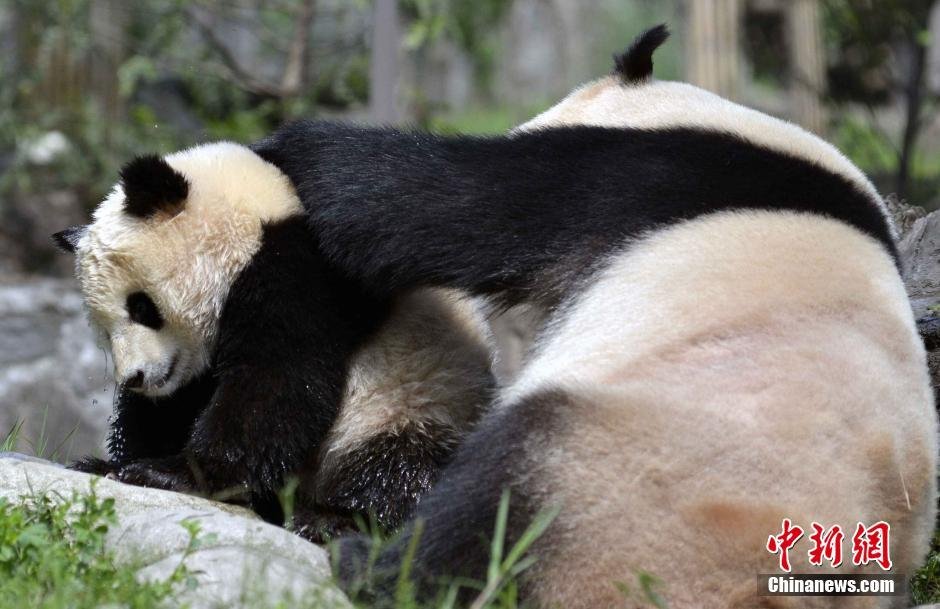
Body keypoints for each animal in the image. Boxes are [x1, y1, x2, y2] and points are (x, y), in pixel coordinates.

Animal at [235, 26, 932, 608]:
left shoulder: (632, 177)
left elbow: (422, 206)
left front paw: (284, 147)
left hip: (629, 474)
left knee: (498, 504)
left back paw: (373, 563)